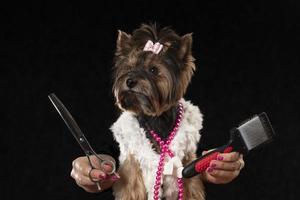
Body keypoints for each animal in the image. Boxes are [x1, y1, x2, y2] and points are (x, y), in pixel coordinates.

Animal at [110, 23, 206, 200]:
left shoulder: (187, 162)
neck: (157, 118)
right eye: (129, 67)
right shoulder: (133, 165)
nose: (130, 81)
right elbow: (132, 189)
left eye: (153, 70)